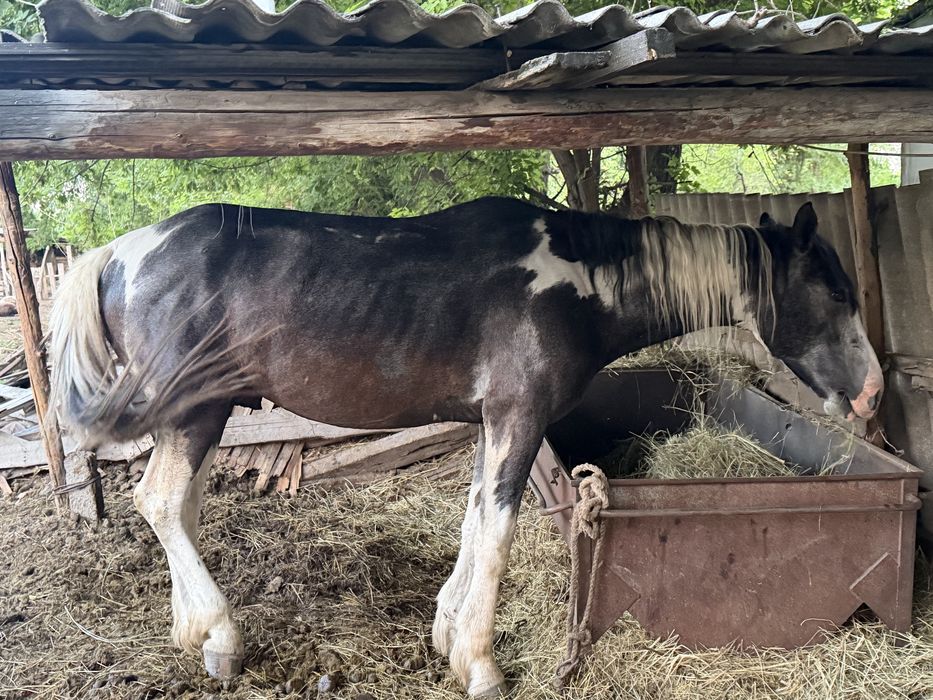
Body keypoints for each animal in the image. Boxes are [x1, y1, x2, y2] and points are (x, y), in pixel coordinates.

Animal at [49, 197, 882, 697]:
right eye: (836, 294)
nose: (872, 394)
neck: (575, 283)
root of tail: (117, 252)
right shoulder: (518, 415)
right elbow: (499, 532)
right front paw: (479, 663)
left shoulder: (493, 421)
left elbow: (476, 518)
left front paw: (448, 633)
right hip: (195, 412)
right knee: (161, 501)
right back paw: (221, 635)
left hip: (199, 416)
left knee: (179, 508)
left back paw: (195, 634)